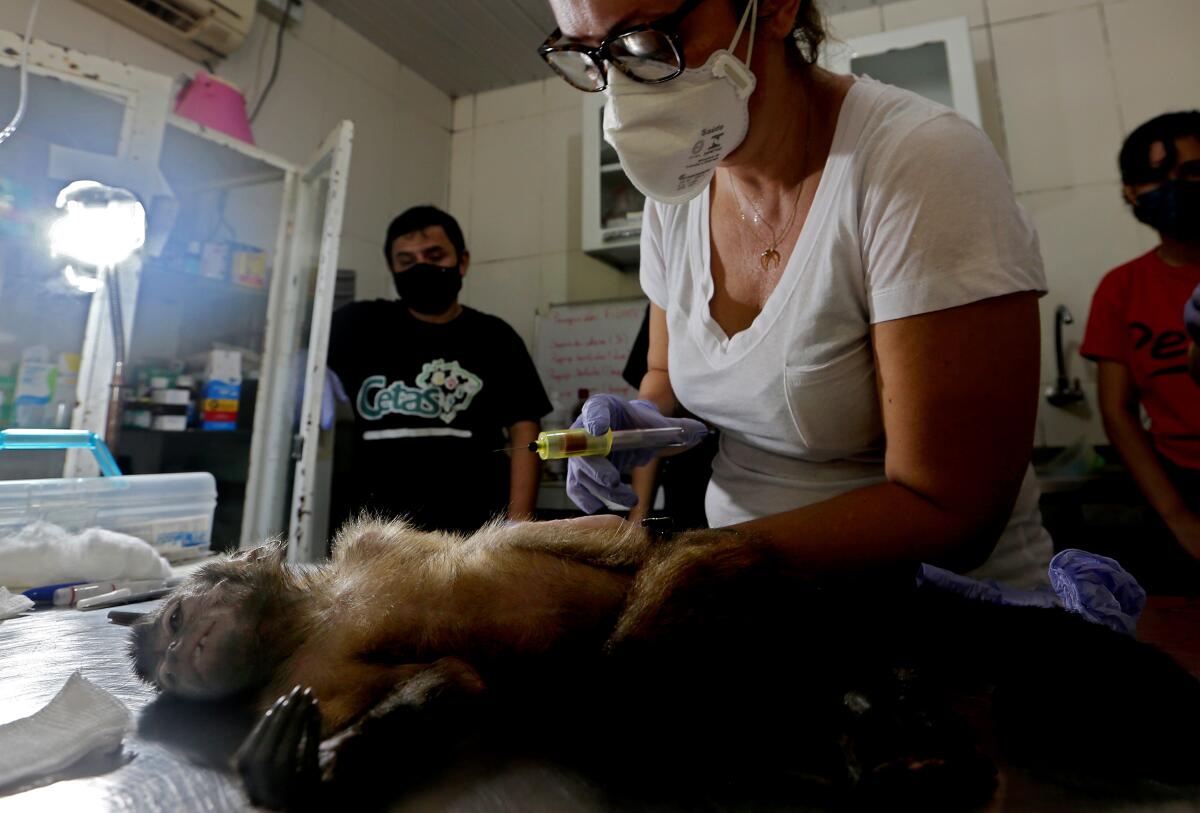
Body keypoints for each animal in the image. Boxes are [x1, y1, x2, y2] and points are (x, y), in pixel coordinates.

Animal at [131, 518, 1200, 810]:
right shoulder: (305, 673)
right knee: (625, 713)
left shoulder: (373, 548)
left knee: (648, 633)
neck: (310, 614)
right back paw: (896, 746)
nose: (172, 650)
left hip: (767, 588)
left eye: (180, 615)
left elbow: (595, 539)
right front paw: (301, 768)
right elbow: (463, 684)